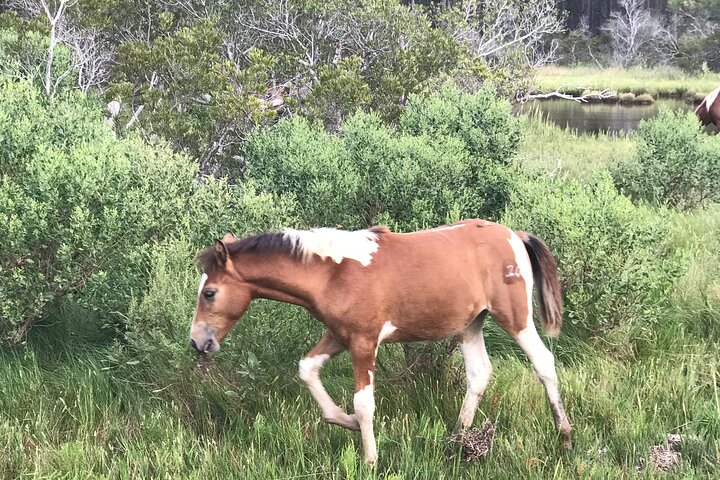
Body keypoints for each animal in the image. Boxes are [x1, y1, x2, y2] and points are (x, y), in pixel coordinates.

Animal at [190, 219, 572, 465]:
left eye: (210, 293)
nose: (197, 342)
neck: (333, 273)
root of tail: (515, 235)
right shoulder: (338, 335)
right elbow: (307, 369)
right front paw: (345, 421)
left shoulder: (364, 342)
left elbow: (364, 404)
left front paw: (370, 459)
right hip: (469, 324)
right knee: (479, 374)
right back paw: (456, 444)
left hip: (515, 317)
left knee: (543, 362)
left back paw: (565, 437)